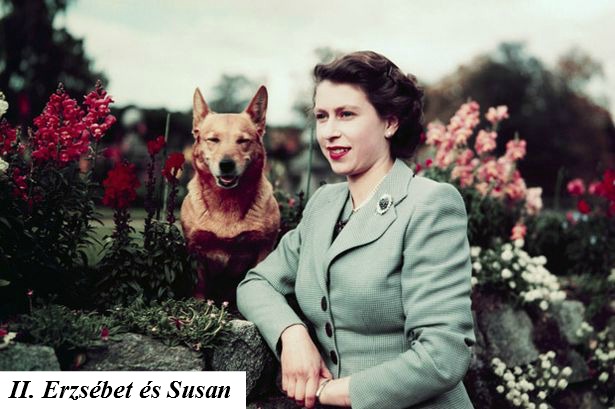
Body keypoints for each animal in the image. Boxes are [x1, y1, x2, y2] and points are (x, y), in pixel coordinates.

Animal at [180, 84, 282, 304]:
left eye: (243, 140)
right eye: (213, 140)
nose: (226, 164)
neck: (227, 202)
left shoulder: (264, 248)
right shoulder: (195, 249)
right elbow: (199, 287)